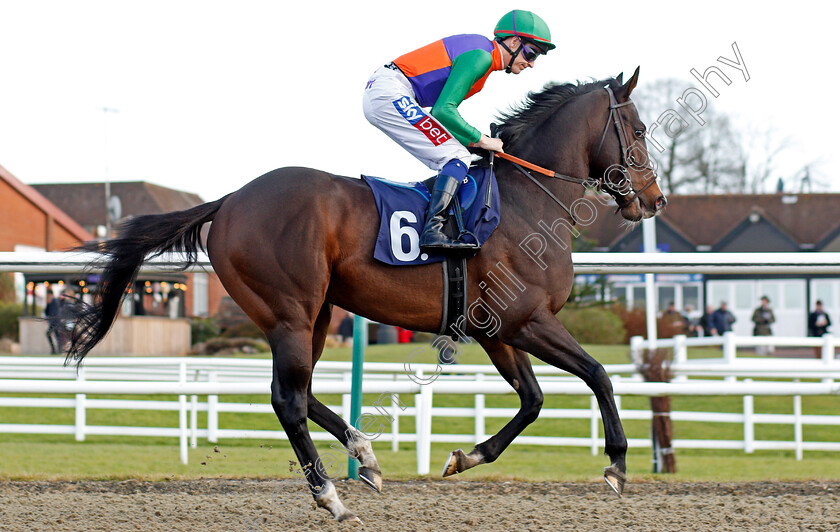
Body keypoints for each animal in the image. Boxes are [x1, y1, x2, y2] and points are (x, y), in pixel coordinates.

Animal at [65, 67, 668, 524]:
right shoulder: (526, 321)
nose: (654, 200)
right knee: (287, 399)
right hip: (290, 312)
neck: (526, 201)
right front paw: (616, 466)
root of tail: (231, 200)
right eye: (638, 130)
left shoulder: (498, 331)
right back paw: (332, 498)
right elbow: (598, 374)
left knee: (301, 391)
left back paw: (366, 455)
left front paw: (466, 456)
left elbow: (534, 399)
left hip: (317, 314)